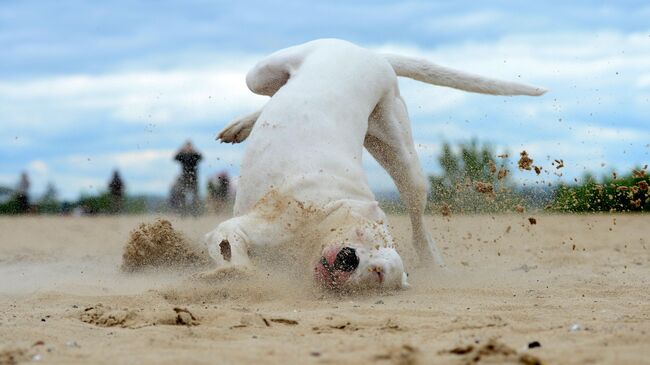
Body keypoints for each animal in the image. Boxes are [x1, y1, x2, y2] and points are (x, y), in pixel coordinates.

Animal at [204, 38, 540, 288]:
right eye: (363, 235)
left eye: (377, 273)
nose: (348, 258)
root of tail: (373, 54)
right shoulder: (244, 227)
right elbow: (233, 253)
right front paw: (232, 274)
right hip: (263, 72)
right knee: (268, 90)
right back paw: (240, 125)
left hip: (395, 149)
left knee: (418, 223)